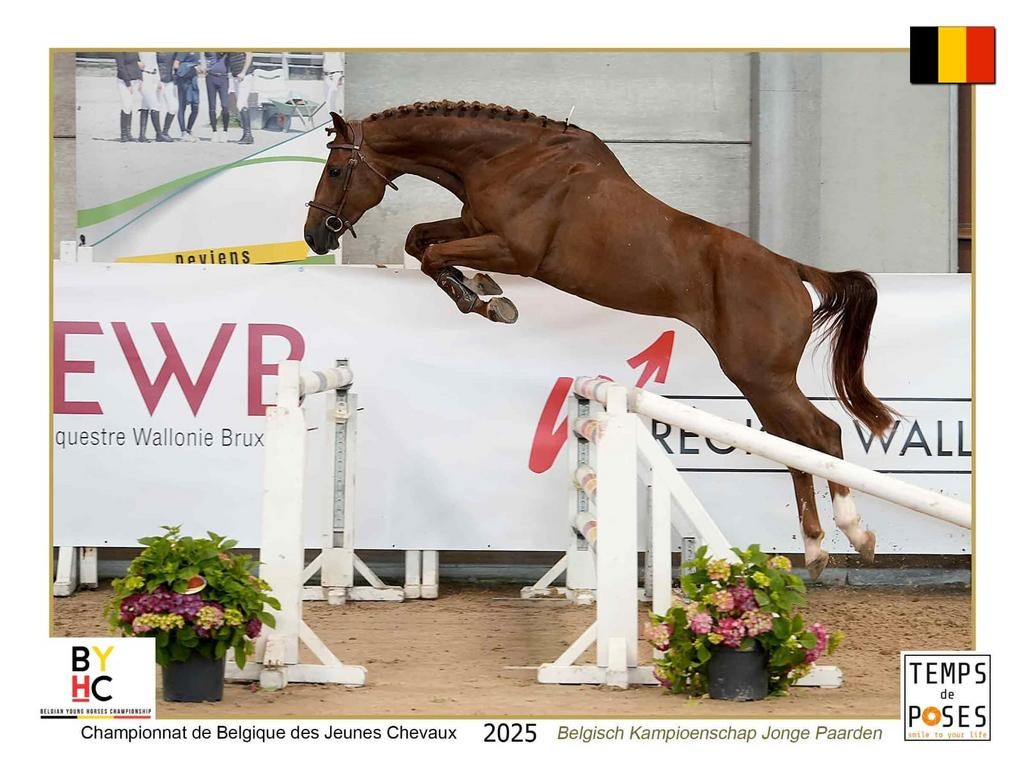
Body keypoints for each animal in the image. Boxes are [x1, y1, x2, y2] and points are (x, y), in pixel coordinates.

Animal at [303, 101, 897, 580]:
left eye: (334, 169)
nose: (315, 235)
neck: (508, 160)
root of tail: (792, 268)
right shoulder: (472, 225)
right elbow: (419, 239)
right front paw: (485, 293)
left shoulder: (516, 250)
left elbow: (430, 253)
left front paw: (487, 299)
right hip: (761, 381)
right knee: (796, 446)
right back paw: (817, 549)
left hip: (761, 376)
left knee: (821, 435)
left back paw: (854, 536)